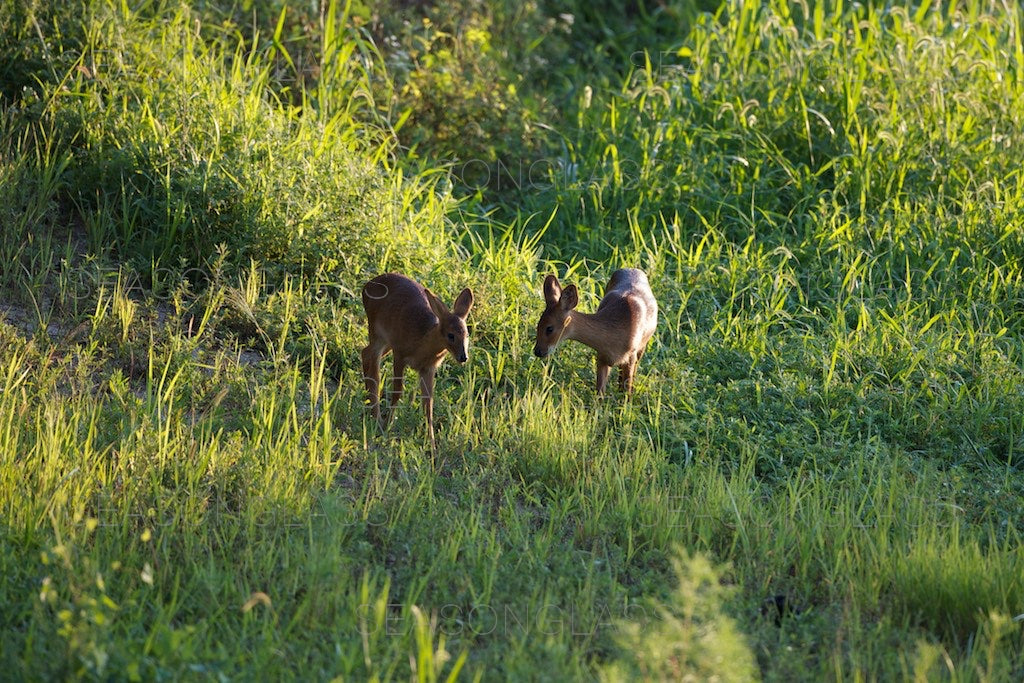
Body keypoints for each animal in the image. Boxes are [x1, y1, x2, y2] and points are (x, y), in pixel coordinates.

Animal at [360, 272, 471, 448]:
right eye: (451, 335)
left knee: (365, 353)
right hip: (376, 332)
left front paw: (432, 445)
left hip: (385, 341)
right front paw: (388, 425)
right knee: (374, 371)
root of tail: (367, 285)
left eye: (467, 334)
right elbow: (397, 392)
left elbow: (428, 404)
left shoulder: (428, 368)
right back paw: (377, 418)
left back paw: (368, 405)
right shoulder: (399, 354)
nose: (463, 357)